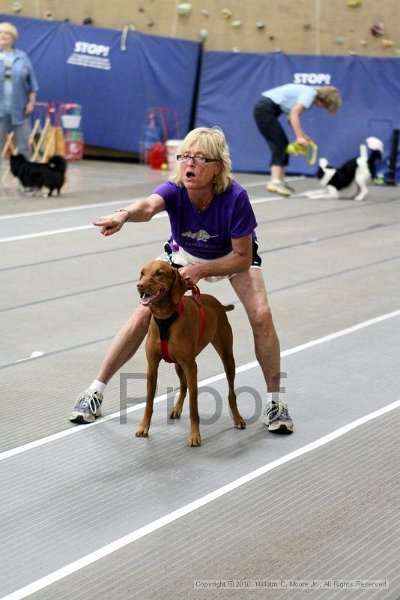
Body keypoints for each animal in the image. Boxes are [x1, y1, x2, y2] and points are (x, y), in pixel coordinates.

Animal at [136, 262, 245, 446]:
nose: (139, 285)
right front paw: (144, 426)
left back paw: (237, 418)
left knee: (231, 393)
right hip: (178, 365)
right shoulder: (152, 367)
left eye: (159, 273)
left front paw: (194, 435)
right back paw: (177, 408)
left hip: (227, 358)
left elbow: (194, 408)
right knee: (183, 386)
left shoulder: (191, 367)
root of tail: (218, 303)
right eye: (142, 273)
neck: (165, 317)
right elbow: (149, 403)